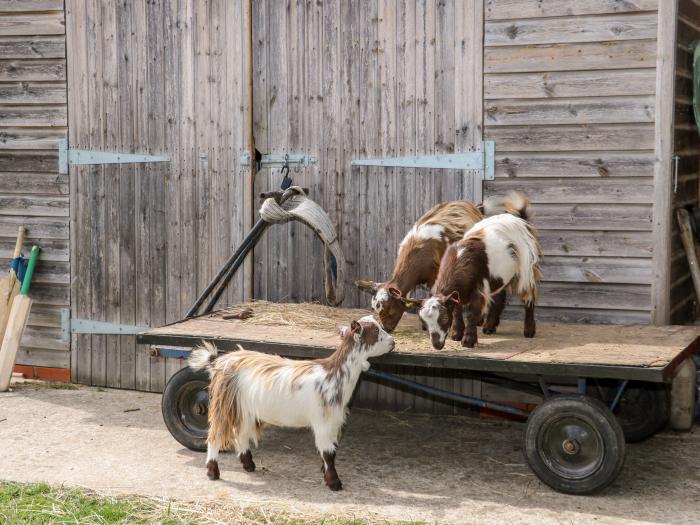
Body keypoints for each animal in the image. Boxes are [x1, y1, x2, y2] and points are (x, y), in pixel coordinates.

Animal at [187, 316, 394, 492]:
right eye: (376, 331)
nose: (393, 342)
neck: (334, 374)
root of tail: (220, 360)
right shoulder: (323, 421)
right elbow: (328, 453)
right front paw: (334, 483)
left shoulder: (334, 421)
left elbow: (331, 451)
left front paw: (325, 474)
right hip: (223, 404)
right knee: (215, 435)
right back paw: (213, 472)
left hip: (245, 408)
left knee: (242, 433)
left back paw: (248, 465)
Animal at [416, 192, 540, 348]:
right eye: (424, 323)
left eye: (443, 319)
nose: (437, 345)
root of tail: (521, 220)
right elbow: (457, 311)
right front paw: (457, 334)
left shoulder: (479, 287)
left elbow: (472, 313)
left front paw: (468, 341)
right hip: (499, 274)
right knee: (499, 297)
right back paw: (489, 327)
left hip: (527, 269)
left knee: (529, 296)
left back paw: (529, 330)